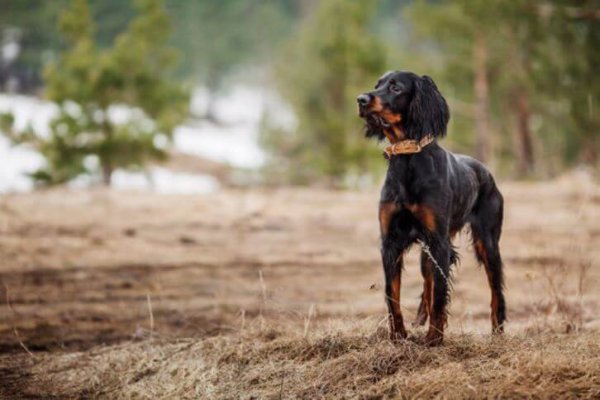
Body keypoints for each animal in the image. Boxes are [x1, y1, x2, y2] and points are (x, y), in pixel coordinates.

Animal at [356, 71, 506, 344]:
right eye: (377, 85)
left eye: (395, 87)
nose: (361, 99)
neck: (408, 158)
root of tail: (485, 169)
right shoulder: (390, 242)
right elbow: (392, 294)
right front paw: (398, 336)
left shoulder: (439, 242)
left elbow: (439, 294)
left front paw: (434, 339)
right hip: (428, 251)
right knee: (427, 283)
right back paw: (419, 319)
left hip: (487, 244)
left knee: (496, 290)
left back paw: (497, 332)